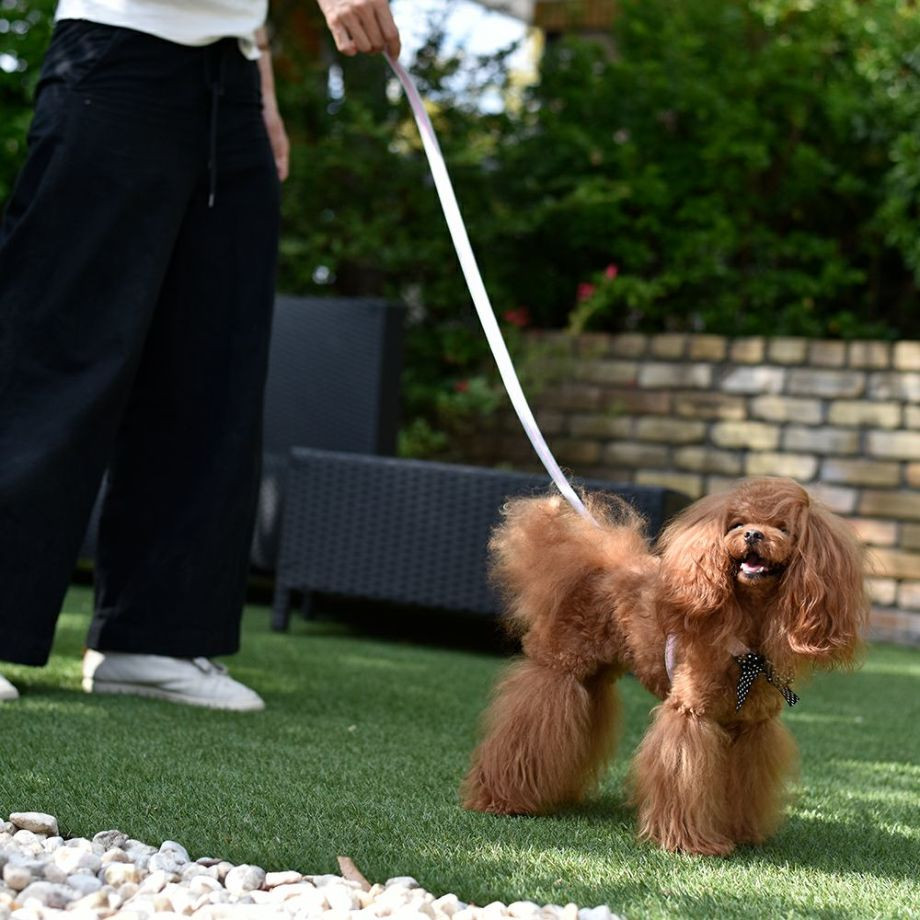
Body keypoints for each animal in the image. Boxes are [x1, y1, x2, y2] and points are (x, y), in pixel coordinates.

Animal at [464, 478, 868, 860]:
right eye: (736, 524)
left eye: (783, 528)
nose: (753, 534)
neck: (746, 623)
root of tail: (598, 563)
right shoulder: (691, 714)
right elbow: (683, 775)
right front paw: (689, 842)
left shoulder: (751, 731)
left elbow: (742, 786)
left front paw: (739, 832)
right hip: (559, 670)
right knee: (526, 724)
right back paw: (502, 798)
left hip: (593, 679)